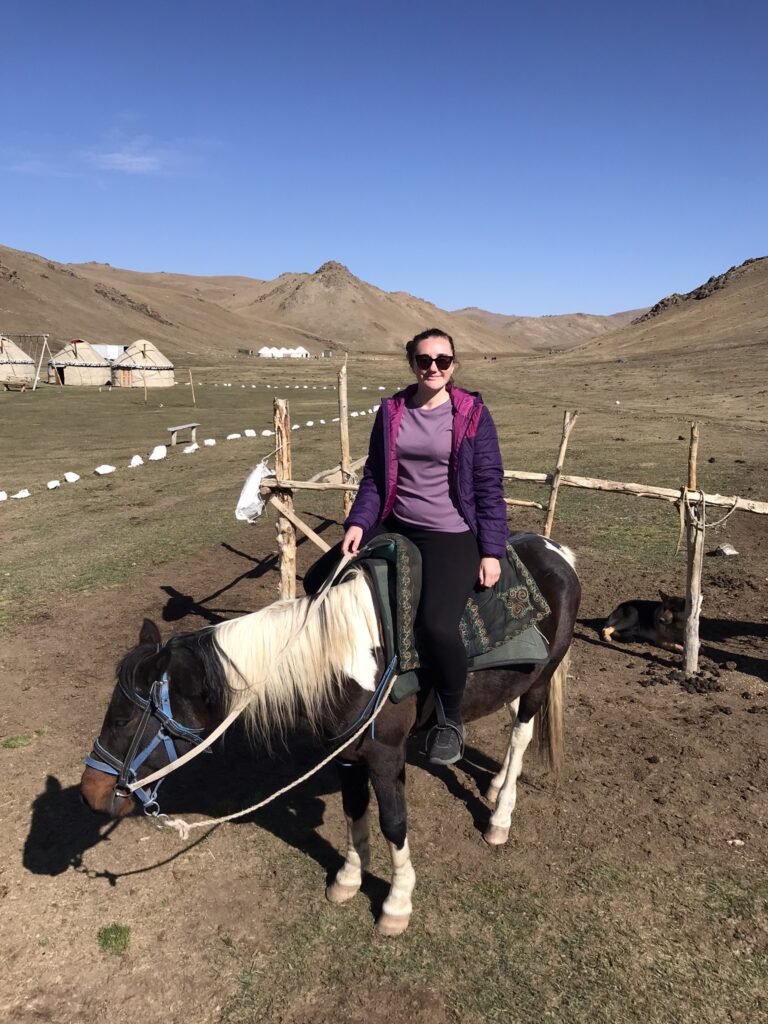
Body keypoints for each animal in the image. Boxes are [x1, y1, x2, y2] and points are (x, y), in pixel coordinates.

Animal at [81, 536, 581, 937]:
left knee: (520, 736)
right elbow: (353, 810)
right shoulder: (344, 754)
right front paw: (347, 880)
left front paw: (396, 903)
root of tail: (555, 551)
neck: (342, 661)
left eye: (123, 719)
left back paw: (500, 817)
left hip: (540, 683)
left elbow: (393, 823)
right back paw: (493, 786)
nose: (91, 791)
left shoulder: (384, 755)